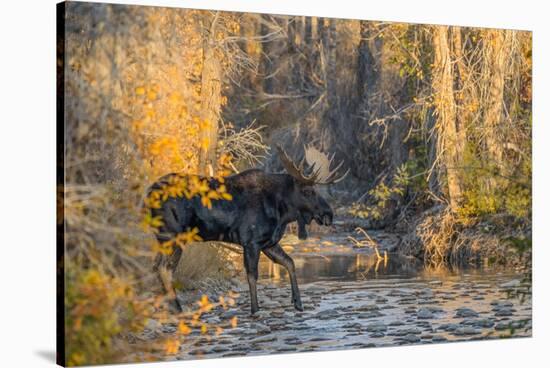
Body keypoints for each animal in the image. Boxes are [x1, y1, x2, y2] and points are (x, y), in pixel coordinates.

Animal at [150, 145, 350, 314]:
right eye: (308, 191)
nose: (329, 214)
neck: (281, 212)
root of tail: (147, 196)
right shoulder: (251, 241)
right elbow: (253, 276)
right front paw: (255, 310)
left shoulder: (268, 242)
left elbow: (289, 262)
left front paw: (298, 303)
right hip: (172, 235)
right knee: (164, 268)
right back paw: (176, 308)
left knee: (156, 267)